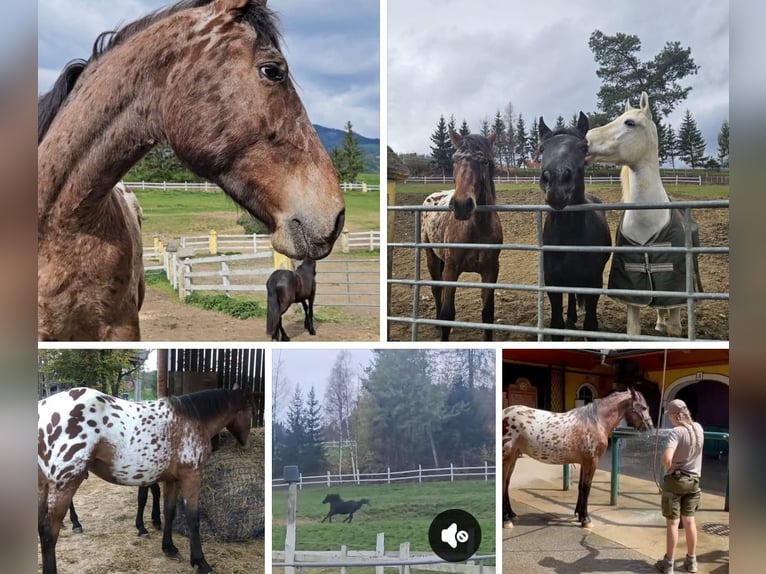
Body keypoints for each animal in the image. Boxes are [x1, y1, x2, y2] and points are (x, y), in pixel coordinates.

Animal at [37, 388, 254, 574]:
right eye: (250, 410)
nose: (245, 442)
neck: (192, 419)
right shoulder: (191, 477)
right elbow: (193, 518)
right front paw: (201, 562)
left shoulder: (171, 480)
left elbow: (169, 511)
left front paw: (169, 547)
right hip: (65, 482)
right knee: (49, 532)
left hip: (44, 485)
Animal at [420, 130, 504, 342]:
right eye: (454, 159)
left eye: (483, 161)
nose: (462, 205)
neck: (476, 230)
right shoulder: (452, 269)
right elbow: (447, 313)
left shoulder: (491, 271)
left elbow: (487, 313)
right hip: (431, 256)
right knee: (436, 289)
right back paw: (437, 325)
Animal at [504, 392, 656, 532]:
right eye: (643, 407)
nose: (650, 429)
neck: (596, 422)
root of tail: (504, 412)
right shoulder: (592, 461)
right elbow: (586, 488)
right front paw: (586, 520)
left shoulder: (585, 462)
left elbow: (581, 487)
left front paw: (579, 515)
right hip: (507, 456)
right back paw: (506, 520)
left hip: (514, 457)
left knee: (506, 483)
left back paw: (512, 515)